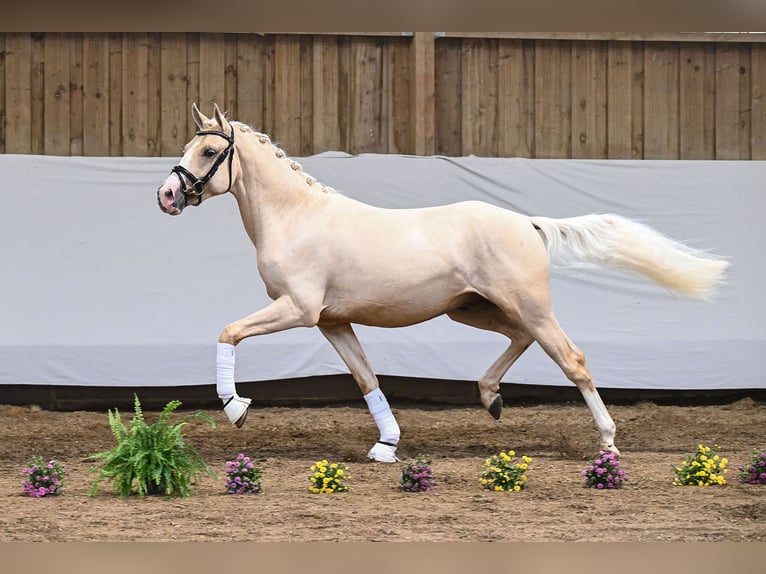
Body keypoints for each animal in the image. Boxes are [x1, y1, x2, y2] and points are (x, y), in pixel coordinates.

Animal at [156, 103, 728, 464]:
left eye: (207, 153)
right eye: (189, 147)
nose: (166, 196)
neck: (297, 218)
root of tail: (527, 223)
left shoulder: (298, 309)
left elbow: (228, 332)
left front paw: (236, 409)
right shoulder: (332, 322)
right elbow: (366, 379)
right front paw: (386, 446)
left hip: (528, 306)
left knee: (572, 359)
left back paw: (607, 444)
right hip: (472, 308)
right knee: (520, 340)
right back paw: (491, 399)